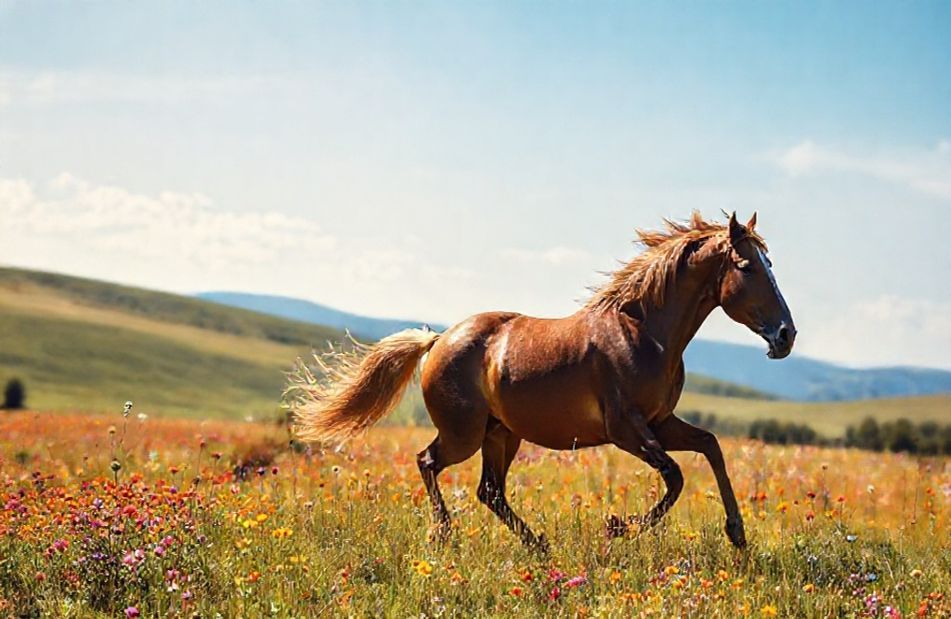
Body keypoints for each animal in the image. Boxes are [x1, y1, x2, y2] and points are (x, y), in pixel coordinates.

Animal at [286, 211, 796, 552]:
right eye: (748, 267)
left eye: (771, 264)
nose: (786, 336)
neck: (644, 332)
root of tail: (437, 340)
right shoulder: (625, 429)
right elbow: (674, 477)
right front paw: (616, 525)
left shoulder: (660, 421)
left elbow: (710, 446)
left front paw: (737, 533)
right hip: (464, 434)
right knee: (428, 462)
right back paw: (445, 534)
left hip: (501, 434)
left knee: (489, 491)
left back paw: (538, 545)